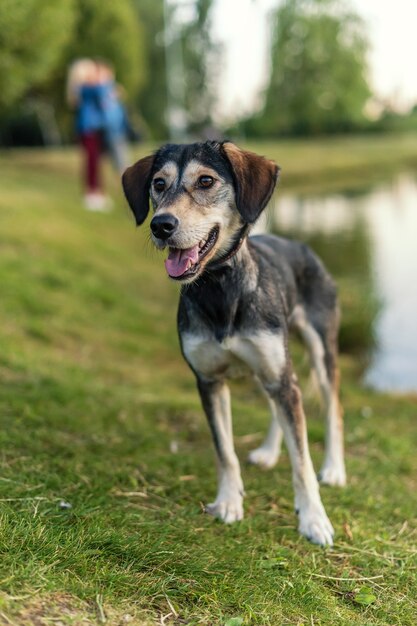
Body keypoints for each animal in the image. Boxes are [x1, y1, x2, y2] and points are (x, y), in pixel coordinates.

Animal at [122, 140, 344, 540]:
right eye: (159, 184)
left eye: (206, 181)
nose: (161, 225)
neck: (220, 287)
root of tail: (303, 247)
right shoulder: (209, 381)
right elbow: (224, 451)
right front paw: (228, 502)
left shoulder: (280, 375)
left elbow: (302, 459)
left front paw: (314, 519)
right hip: (268, 370)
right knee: (277, 405)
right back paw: (269, 451)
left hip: (317, 351)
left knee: (333, 406)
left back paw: (334, 469)